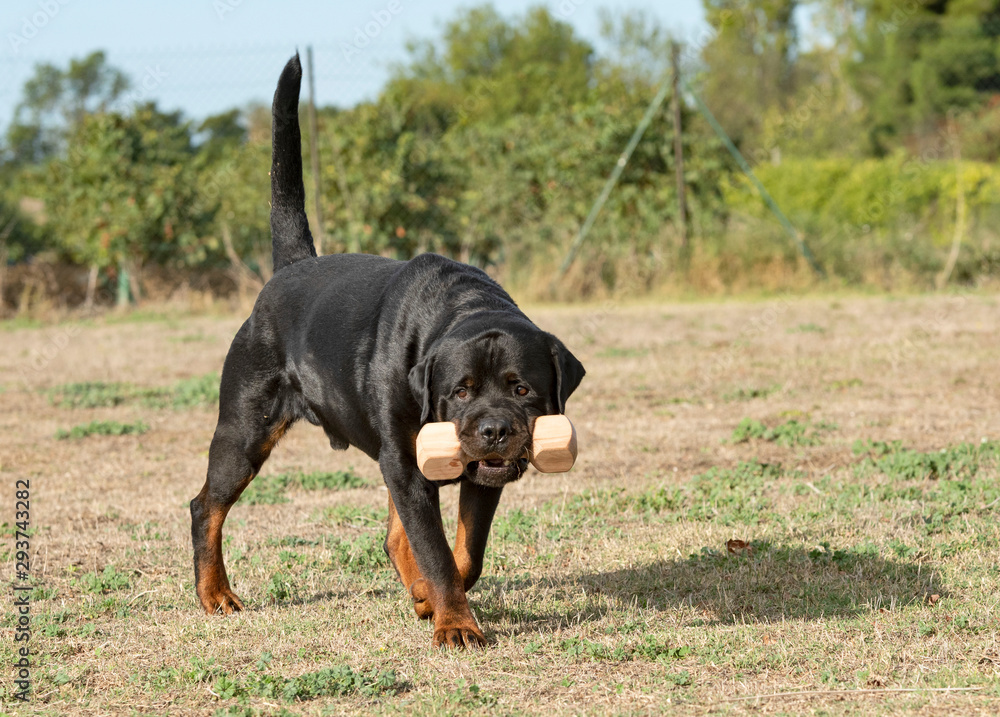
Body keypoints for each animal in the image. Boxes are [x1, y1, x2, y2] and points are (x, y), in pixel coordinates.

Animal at [189, 54, 584, 648]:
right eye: (460, 391)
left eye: (522, 388)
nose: (494, 430)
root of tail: (289, 270)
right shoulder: (406, 462)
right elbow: (438, 553)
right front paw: (456, 624)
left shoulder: (462, 475)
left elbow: (463, 552)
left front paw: (430, 600)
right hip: (244, 429)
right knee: (206, 507)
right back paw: (215, 593)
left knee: (397, 536)